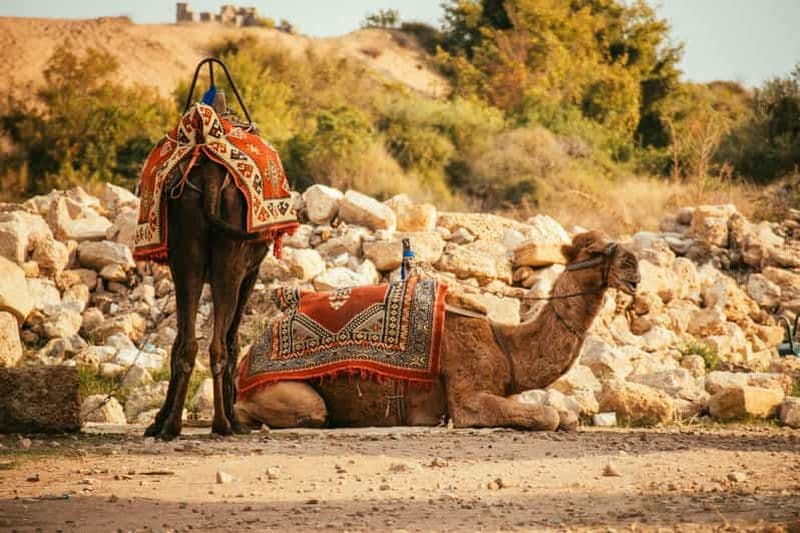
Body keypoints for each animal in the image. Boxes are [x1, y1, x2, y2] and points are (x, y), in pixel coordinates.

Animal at [236, 231, 640, 431]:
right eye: (591, 249)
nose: (634, 265)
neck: (504, 345)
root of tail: (244, 363)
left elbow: (566, 417)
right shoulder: (466, 395)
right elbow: (551, 416)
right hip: (283, 393)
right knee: (311, 412)